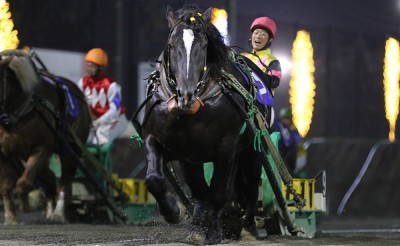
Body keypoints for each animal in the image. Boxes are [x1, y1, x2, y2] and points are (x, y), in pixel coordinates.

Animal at [0, 50, 90, 225]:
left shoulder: (43, 148)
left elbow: (24, 182)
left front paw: (26, 205)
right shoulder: (3, 152)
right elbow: (6, 186)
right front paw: (11, 218)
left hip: (70, 149)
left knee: (64, 182)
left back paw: (58, 214)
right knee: (49, 178)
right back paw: (49, 211)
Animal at [142, 4, 264, 243]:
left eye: (205, 45)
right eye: (171, 45)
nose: (186, 95)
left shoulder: (226, 148)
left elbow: (218, 192)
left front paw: (214, 232)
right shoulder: (160, 139)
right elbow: (154, 179)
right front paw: (173, 212)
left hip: (252, 149)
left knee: (251, 183)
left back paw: (248, 227)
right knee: (200, 188)